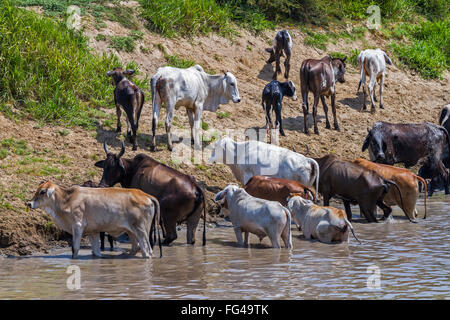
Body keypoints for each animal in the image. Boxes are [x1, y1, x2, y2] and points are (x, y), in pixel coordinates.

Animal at [25, 181, 160, 258]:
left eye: (42, 191)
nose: (29, 203)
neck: (67, 200)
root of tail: (145, 194)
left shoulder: (77, 226)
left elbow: (75, 249)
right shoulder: (93, 231)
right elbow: (96, 251)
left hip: (141, 230)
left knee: (147, 251)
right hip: (132, 231)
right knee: (135, 247)